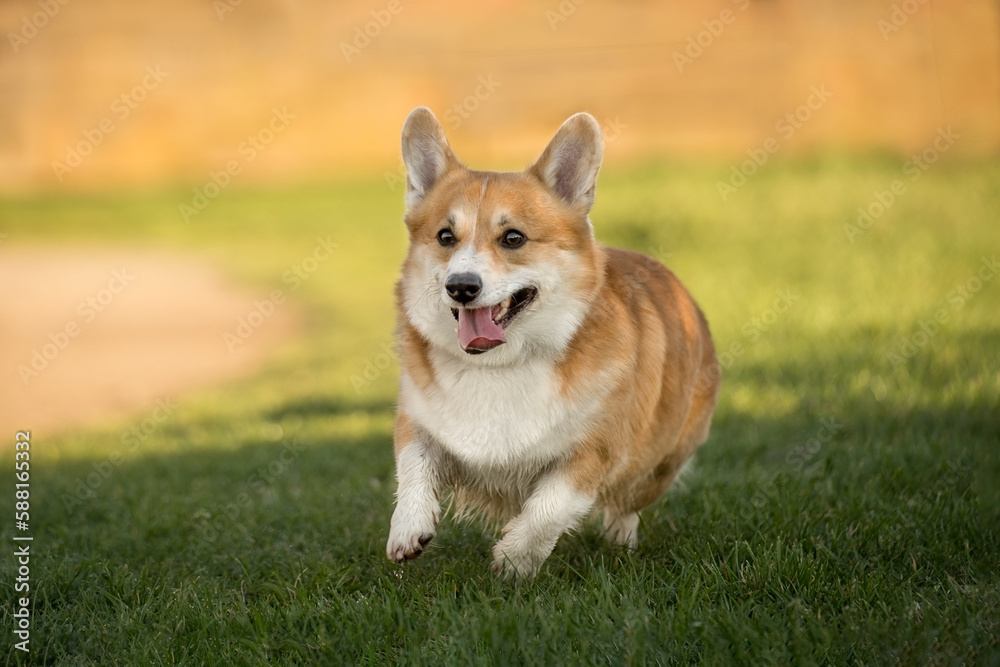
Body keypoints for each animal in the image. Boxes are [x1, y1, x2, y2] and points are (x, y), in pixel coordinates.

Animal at [382, 108, 720, 580]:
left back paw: (620, 544)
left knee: (627, 504)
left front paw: (513, 560)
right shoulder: (418, 420)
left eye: (513, 238)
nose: (461, 287)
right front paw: (408, 531)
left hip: (660, 462)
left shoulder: (592, 452)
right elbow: (413, 468)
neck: (499, 365)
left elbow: (548, 509)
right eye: (446, 237)